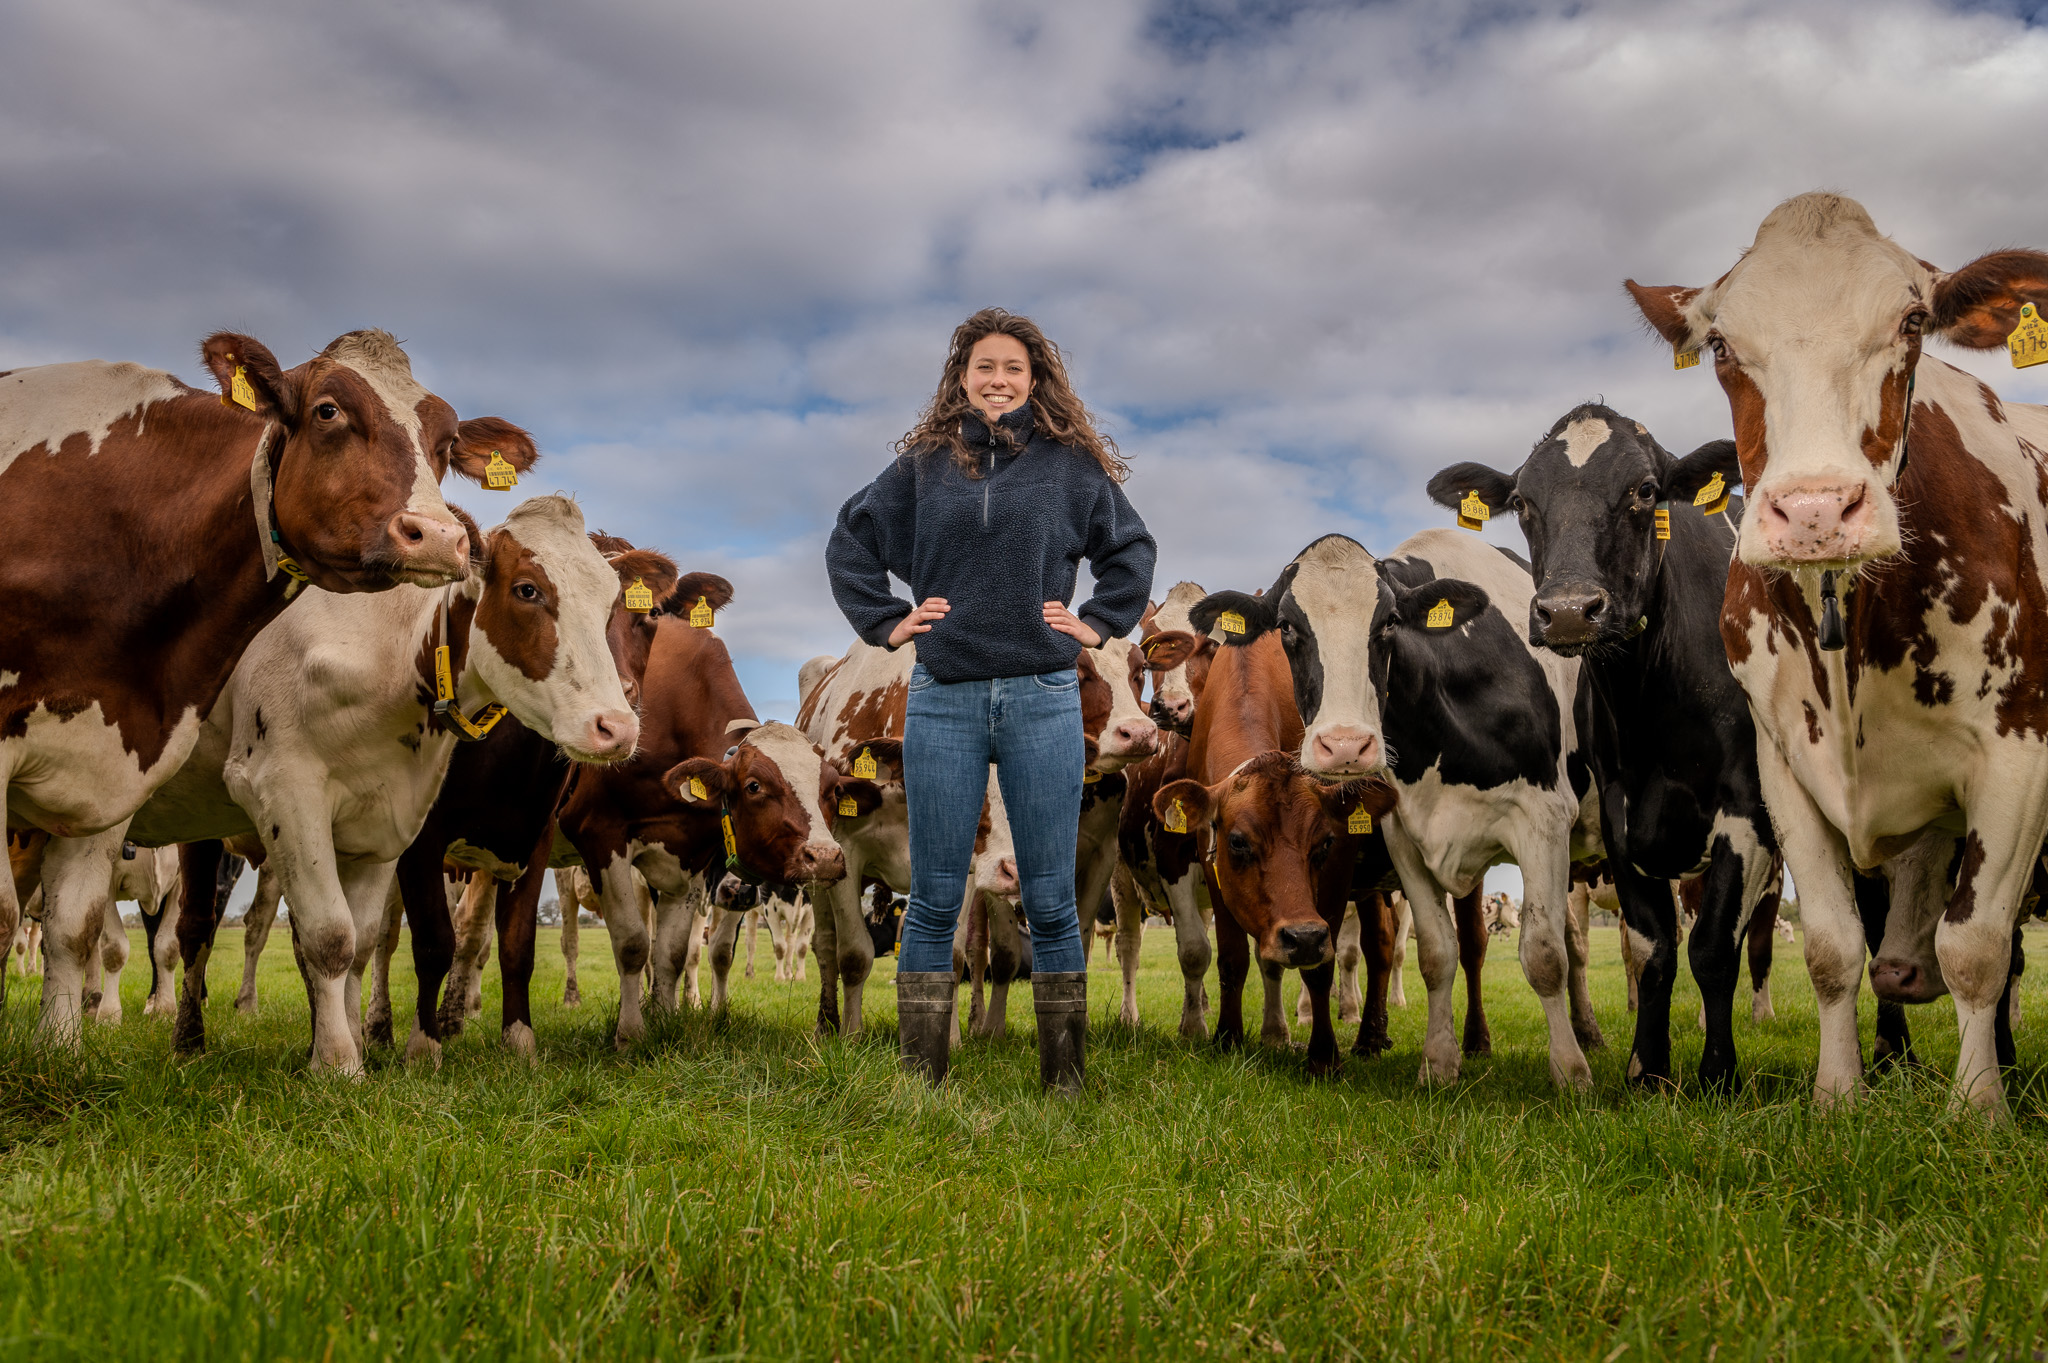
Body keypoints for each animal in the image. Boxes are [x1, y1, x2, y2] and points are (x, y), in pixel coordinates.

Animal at [129, 494, 637, 1074]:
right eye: (527, 589)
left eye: (613, 605)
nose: (618, 727)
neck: (386, 652)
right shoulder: (287, 791)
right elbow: (350, 938)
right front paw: (352, 1059)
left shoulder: (396, 818)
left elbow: (371, 941)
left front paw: (352, 1041)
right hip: (201, 828)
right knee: (194, 926)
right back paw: (187, 1037)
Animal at [1195, 529, 1603, 1090]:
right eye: (1286, 627)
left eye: (1388, 621)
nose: (1345, 747)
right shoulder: (1403, 837)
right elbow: (1435, 953)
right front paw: (1438, 1063)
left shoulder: (1543, 820)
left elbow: (1542, 954)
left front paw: (1570, 1073)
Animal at [1427, 403, 1782, 1093]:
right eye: (1522, 501)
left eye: (1645, 490)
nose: (1568, 611)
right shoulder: (1621, 814)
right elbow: (1652, 949)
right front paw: (1648, 1069)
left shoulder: (1746, 814)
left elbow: (1714, 949)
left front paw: (1717, 1073)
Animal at [1627, 190, 2048, 1113]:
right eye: (1720, 343)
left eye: (1913, 321)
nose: (1816, 509)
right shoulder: (1783, 767)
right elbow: (1829, 945)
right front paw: (1838, 1093)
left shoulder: (2021, 752)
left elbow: (1979, 948)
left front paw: (1981, 1106)